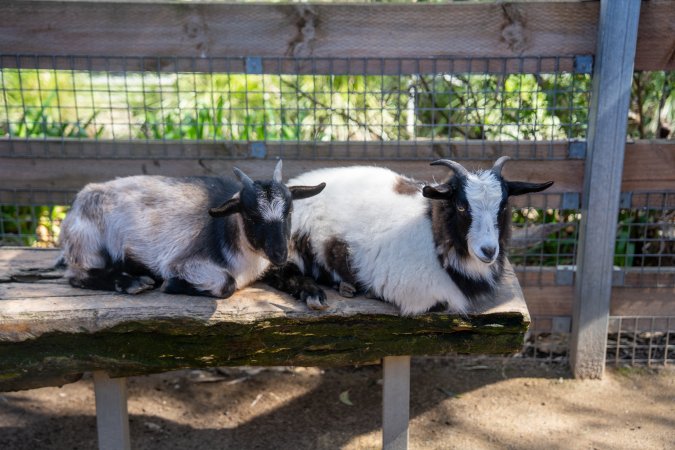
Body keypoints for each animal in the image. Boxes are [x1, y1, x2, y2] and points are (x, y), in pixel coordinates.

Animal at [59, 160, 326, 297]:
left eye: (289, 211)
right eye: (251, 216)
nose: (280, 254)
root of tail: (79, 199)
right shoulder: (181, 262)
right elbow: (226, 284)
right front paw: (171, 285)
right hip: (88, 243)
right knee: (76, 275)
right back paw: (132, 282)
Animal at [265, 157, 552, 314]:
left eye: (503, 206)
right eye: (461, 206)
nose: (488, 250)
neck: (433, 230)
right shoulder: (422, 293)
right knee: (280, 272)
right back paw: (316, 294)